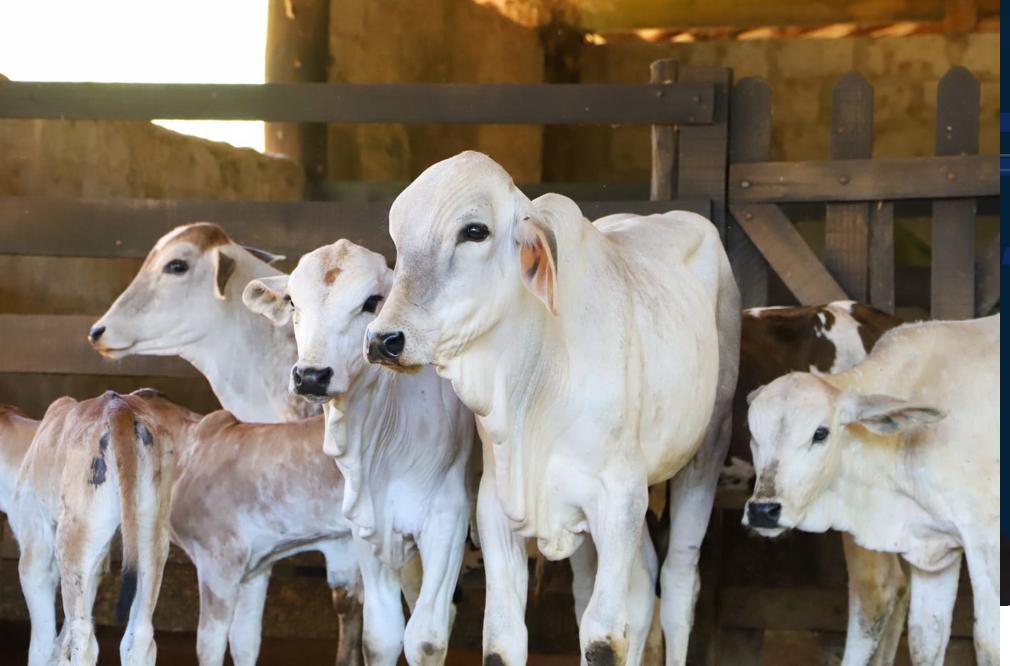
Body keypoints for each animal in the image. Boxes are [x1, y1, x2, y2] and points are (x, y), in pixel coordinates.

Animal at [9, 390, 193, 666]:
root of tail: (120, 407)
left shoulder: (35, 545)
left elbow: (42, 643)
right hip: (150, 537)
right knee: (139, 635)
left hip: (72, 539)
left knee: (83, 639)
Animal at [244, 239, 475, 666]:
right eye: (293, 302)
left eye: (371, 302)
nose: (311, 376)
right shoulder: (368, 526)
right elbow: (381, 637)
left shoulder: (447, 519)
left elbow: (425, 639)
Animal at [364, 151, 741, 665]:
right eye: (399, 239)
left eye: (475, 231)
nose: (384, 340)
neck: (536, 382)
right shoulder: (496, 509)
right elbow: (503, 641)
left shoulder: (619, 499)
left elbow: (603, 639)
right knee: (639, 583)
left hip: (705, 450)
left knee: (679, 584)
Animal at [744, 314, 999, 665]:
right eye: (753, 435)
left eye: (820, 433)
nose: (763, 511)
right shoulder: (935, 546)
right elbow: (924, 640)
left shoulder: (985, 537)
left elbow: (990, 643)